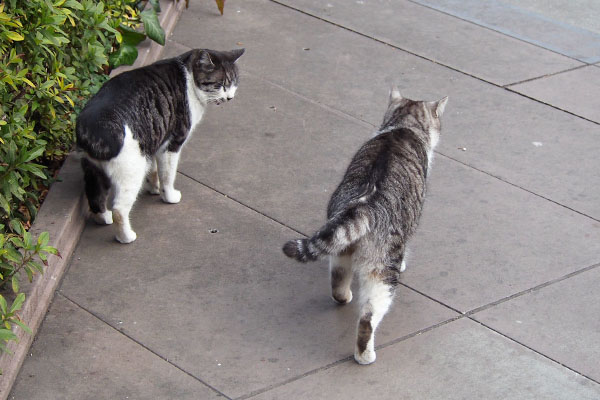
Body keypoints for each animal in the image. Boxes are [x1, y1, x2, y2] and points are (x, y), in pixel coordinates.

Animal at [75, 48, 244, 245]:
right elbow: (167, 175)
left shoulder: (156, 139)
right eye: (220, 84)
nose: (230, 97)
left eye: (233, 83)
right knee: (119, 210)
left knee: (95, 196)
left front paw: (154, 188)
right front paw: (169, 196)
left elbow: (155, 170)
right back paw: (126, 237)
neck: (188, 75)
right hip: (132, 170)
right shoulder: (172, 144)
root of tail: (93, 129)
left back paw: (104, 218)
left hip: (93, 169)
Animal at [284, 89, 448, 364]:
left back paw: (344, 297)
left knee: (338, 280)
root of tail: (365, 205)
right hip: (382, 274)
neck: (401, 127)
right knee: (368, 318)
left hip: (341, 249)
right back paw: (365, 355)